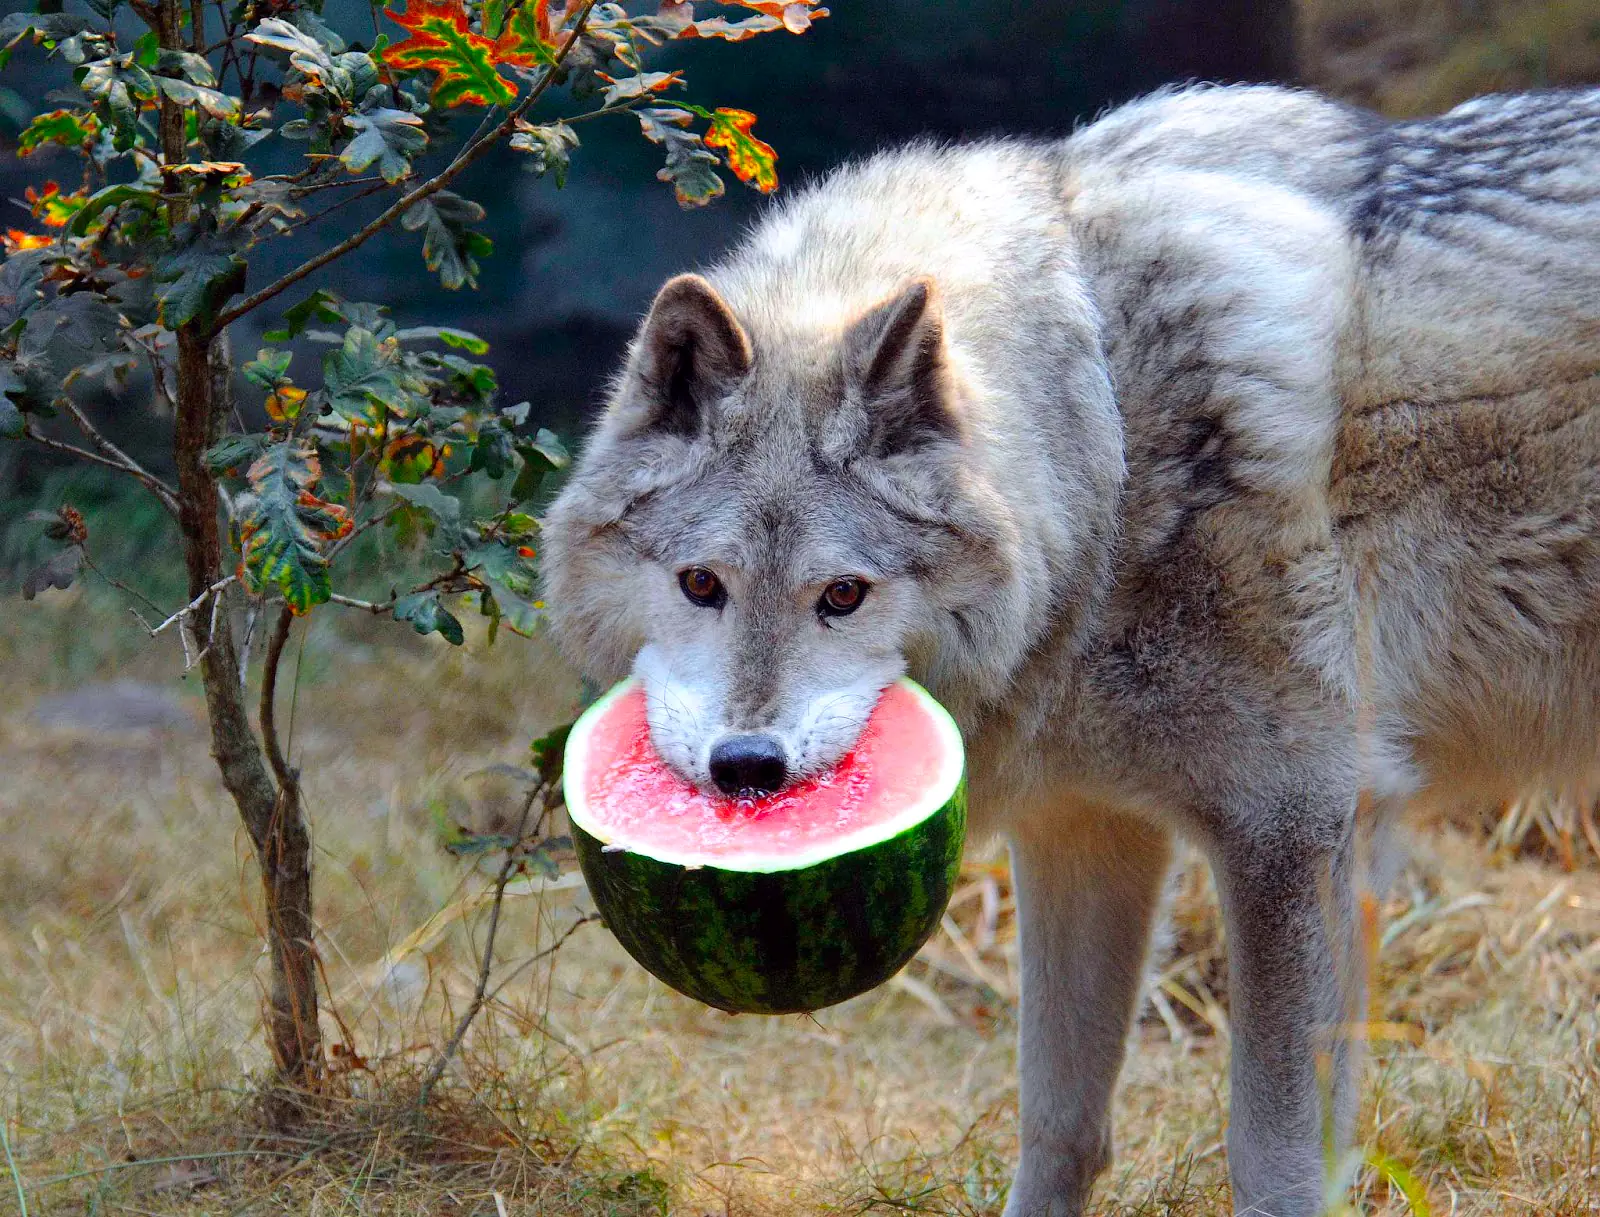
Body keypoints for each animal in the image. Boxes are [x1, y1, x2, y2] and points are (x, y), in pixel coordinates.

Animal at [541, 84, 1600, 1216]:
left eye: (842, 595)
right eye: (702, 584)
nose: (748, 769)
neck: (1107, 442)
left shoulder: (1294, 826)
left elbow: (1273, 1156)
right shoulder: (1083, 828)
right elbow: (1060, 1122)